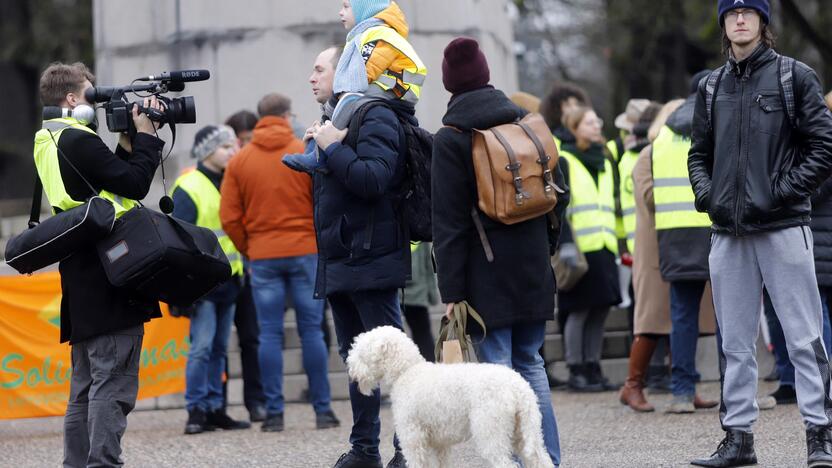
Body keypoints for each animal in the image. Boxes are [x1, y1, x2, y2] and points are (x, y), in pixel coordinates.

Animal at [344, 326, 552, 468]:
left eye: (361, 353)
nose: (351, 371)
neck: (406, 372)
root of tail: (519, 389)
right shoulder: (439, 444)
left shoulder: (413, 438)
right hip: (525, 430)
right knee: (540, 459)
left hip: (491, 431)